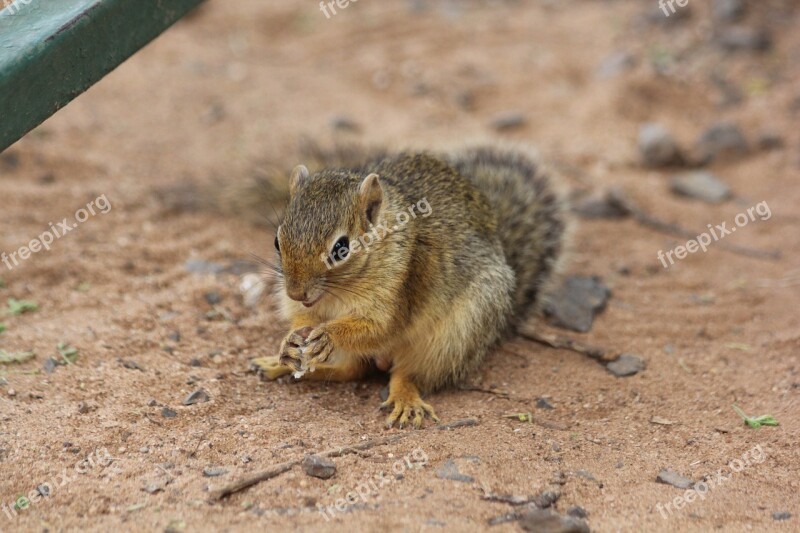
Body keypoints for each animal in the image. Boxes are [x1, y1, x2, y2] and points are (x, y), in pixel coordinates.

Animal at [250, 144, 568, 428]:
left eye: (341, 249)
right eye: (277, 241)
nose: (295, 292)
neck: (338, 293)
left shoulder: (402, 288)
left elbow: (380, 328)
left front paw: (329, 334)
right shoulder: (308, 307)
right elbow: (302, 318)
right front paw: (289, 343)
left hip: (453, 339)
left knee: (407, 374)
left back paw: (405, 398)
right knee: (350, 370)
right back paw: (278, 365)